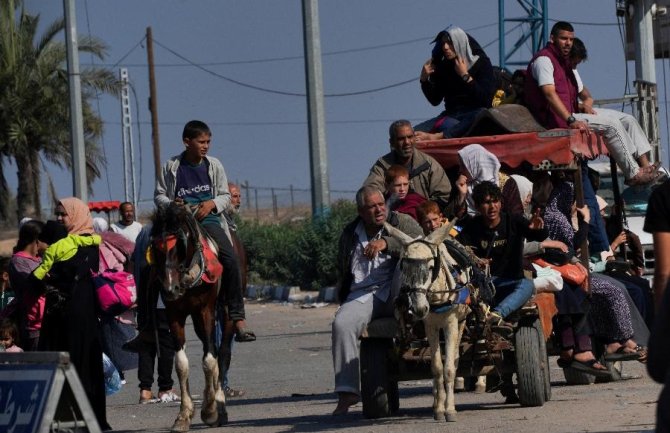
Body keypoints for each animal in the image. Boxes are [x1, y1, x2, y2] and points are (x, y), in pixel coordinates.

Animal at [149, 204, 227, 430]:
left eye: (180, 246)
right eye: (155, 248)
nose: (170, 289)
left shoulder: (206, 310)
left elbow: (209, 360)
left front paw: (209, 410)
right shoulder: (174, 314)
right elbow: (181, 364)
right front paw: (183, 415)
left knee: (220, 351)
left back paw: (219, 403)